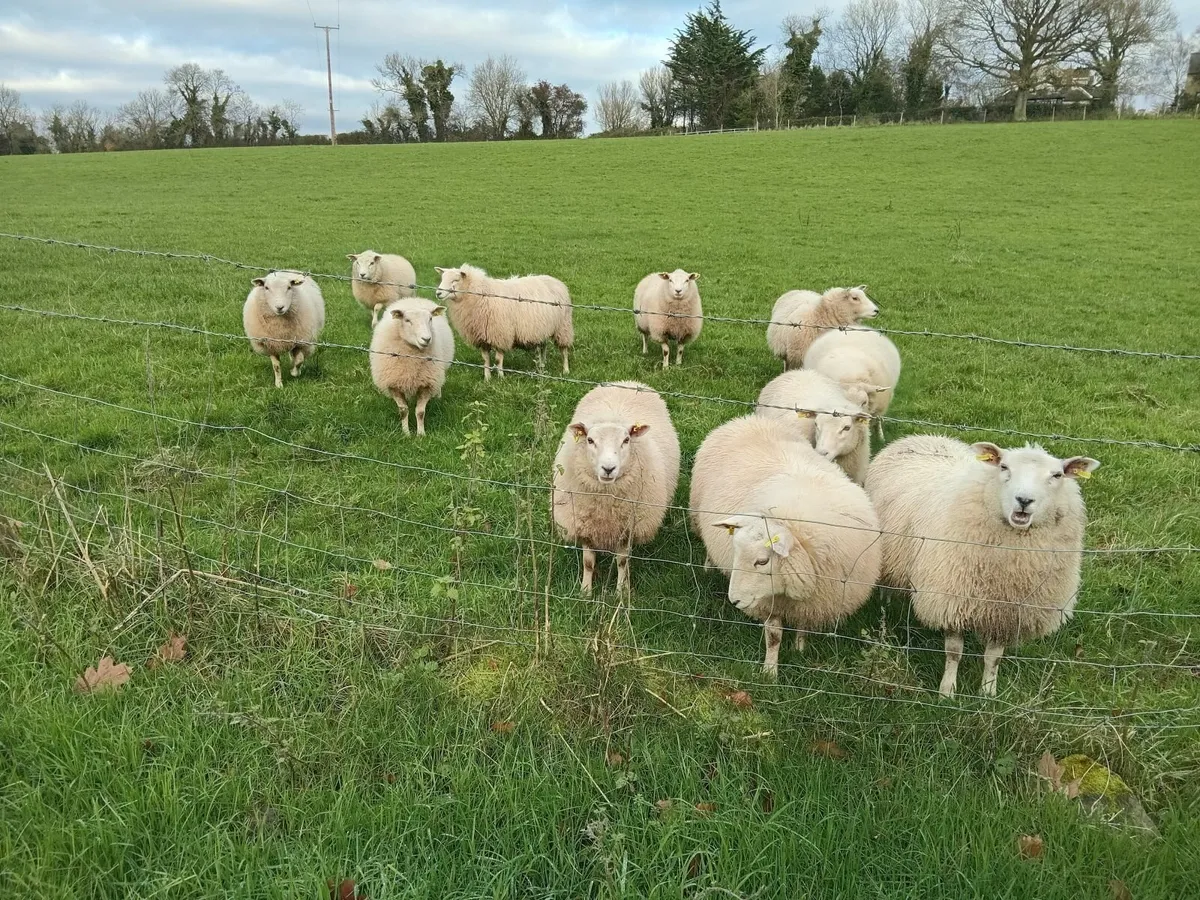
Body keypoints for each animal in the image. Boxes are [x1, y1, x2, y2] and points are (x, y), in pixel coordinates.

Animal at [369, 298, 455, 436]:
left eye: (430, 319)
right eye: (407, 320)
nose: (426, 339)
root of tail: (414, 299)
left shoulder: (427, 384)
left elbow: (420, 412)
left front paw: (421, 434)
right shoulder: (394, 385)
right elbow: (403, 411)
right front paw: (406, 434)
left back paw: (438, 396)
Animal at [435, 264, 573, 380]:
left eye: (456, 280)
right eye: (442, 278)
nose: (438, 293)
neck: (479, 295)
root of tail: (555, 280)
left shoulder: (500, 334)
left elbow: (497, 359)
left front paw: (501, 377)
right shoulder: (482, 336)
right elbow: (485, 359)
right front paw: (487, 378)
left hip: (563, 326)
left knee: (564, 350)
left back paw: (565, 370)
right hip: (543, 327)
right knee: (543, 347)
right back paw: (541, 365)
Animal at [552, 382, 680, 597]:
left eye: (626, 440)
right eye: (590, 440)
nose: (608, 468)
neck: (606, 500)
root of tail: (629, 381)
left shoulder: (627, 527)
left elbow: (622, 561)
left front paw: (621, 591)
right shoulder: (585, 524)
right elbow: (588, 563)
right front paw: (585, 592)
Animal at [689, 414, 882, 677]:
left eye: (762, 561)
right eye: (736, 553)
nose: (734, 600)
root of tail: (750, 419)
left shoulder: (813, 601)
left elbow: (803, 625)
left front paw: (799, 649)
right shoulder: (769, 602)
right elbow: (773, 635)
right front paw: (770, 672)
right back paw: (708, 567)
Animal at [865, 435, 1100, 698]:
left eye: (1057, 475)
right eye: (1004, 467)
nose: (1024, 501)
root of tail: (923, 437)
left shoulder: (1004, 612)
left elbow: (994, 658)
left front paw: (987, 692)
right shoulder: (952, 600)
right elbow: (954, 652)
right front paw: (947, 691)